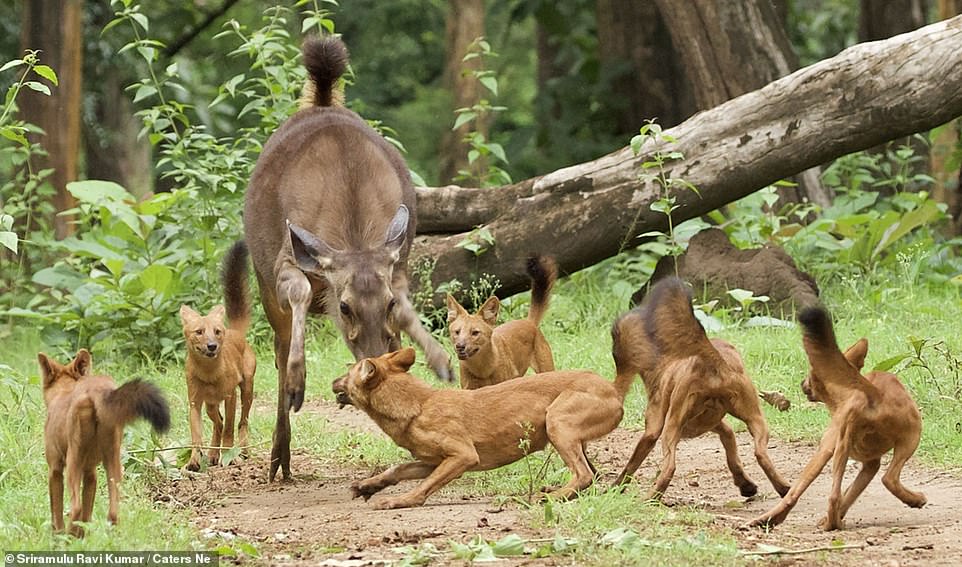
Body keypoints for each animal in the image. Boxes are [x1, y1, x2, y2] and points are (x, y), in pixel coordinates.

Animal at [236, 35, 454, 482]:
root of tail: (321, 100)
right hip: (263, 284)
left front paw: (441, 361)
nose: (372, 362)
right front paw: (299, 383)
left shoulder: (398, 260)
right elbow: (301, 293)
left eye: (385, 304)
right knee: (278, 348)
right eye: (345, 307)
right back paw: (279, 457)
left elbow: (407, 311)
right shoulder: (287, 262)